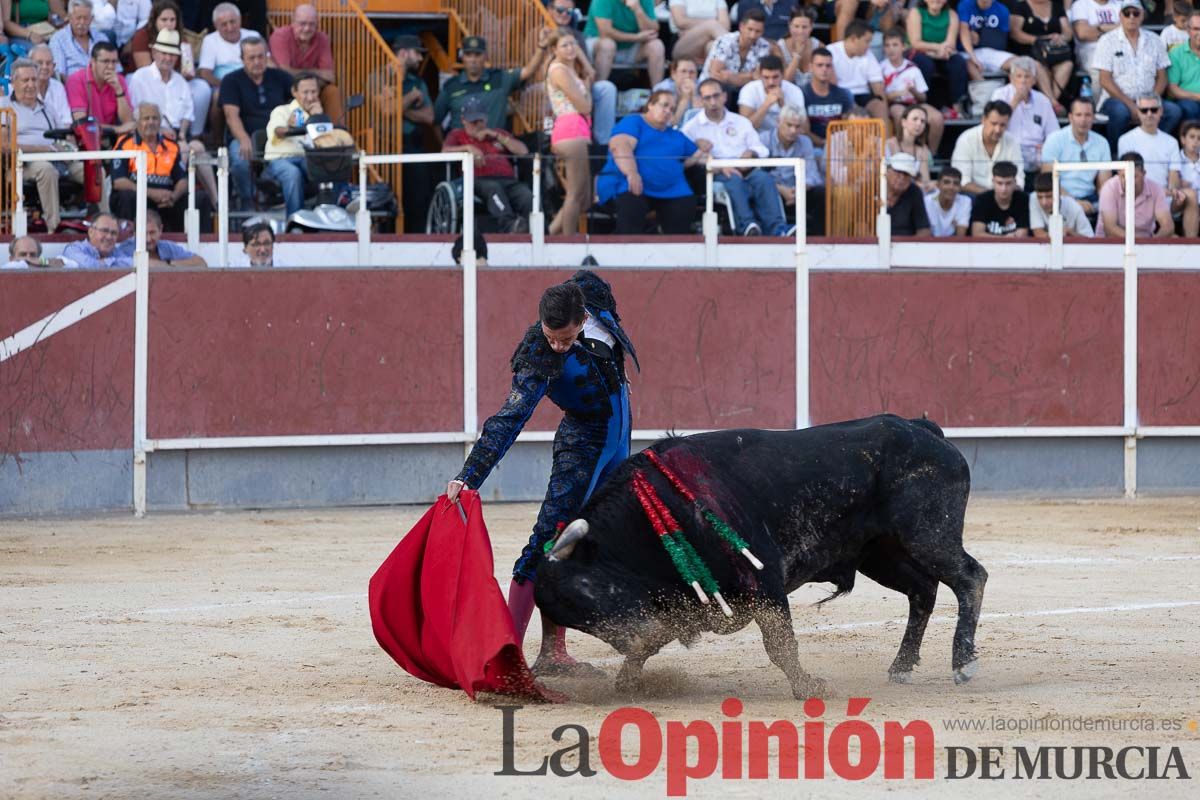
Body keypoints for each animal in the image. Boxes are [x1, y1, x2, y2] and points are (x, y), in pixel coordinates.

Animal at [535, 417, 984, 695]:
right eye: (576, 617)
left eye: (586, 587)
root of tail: (924, 429)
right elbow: (648, 647)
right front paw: (627, 682)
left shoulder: (764, 581)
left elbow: (780, 645)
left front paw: (809, 688)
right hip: (880, 554)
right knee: (923, 590)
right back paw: (902, 667)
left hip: (928, 535)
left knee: (970, 578)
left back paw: (963, 664)